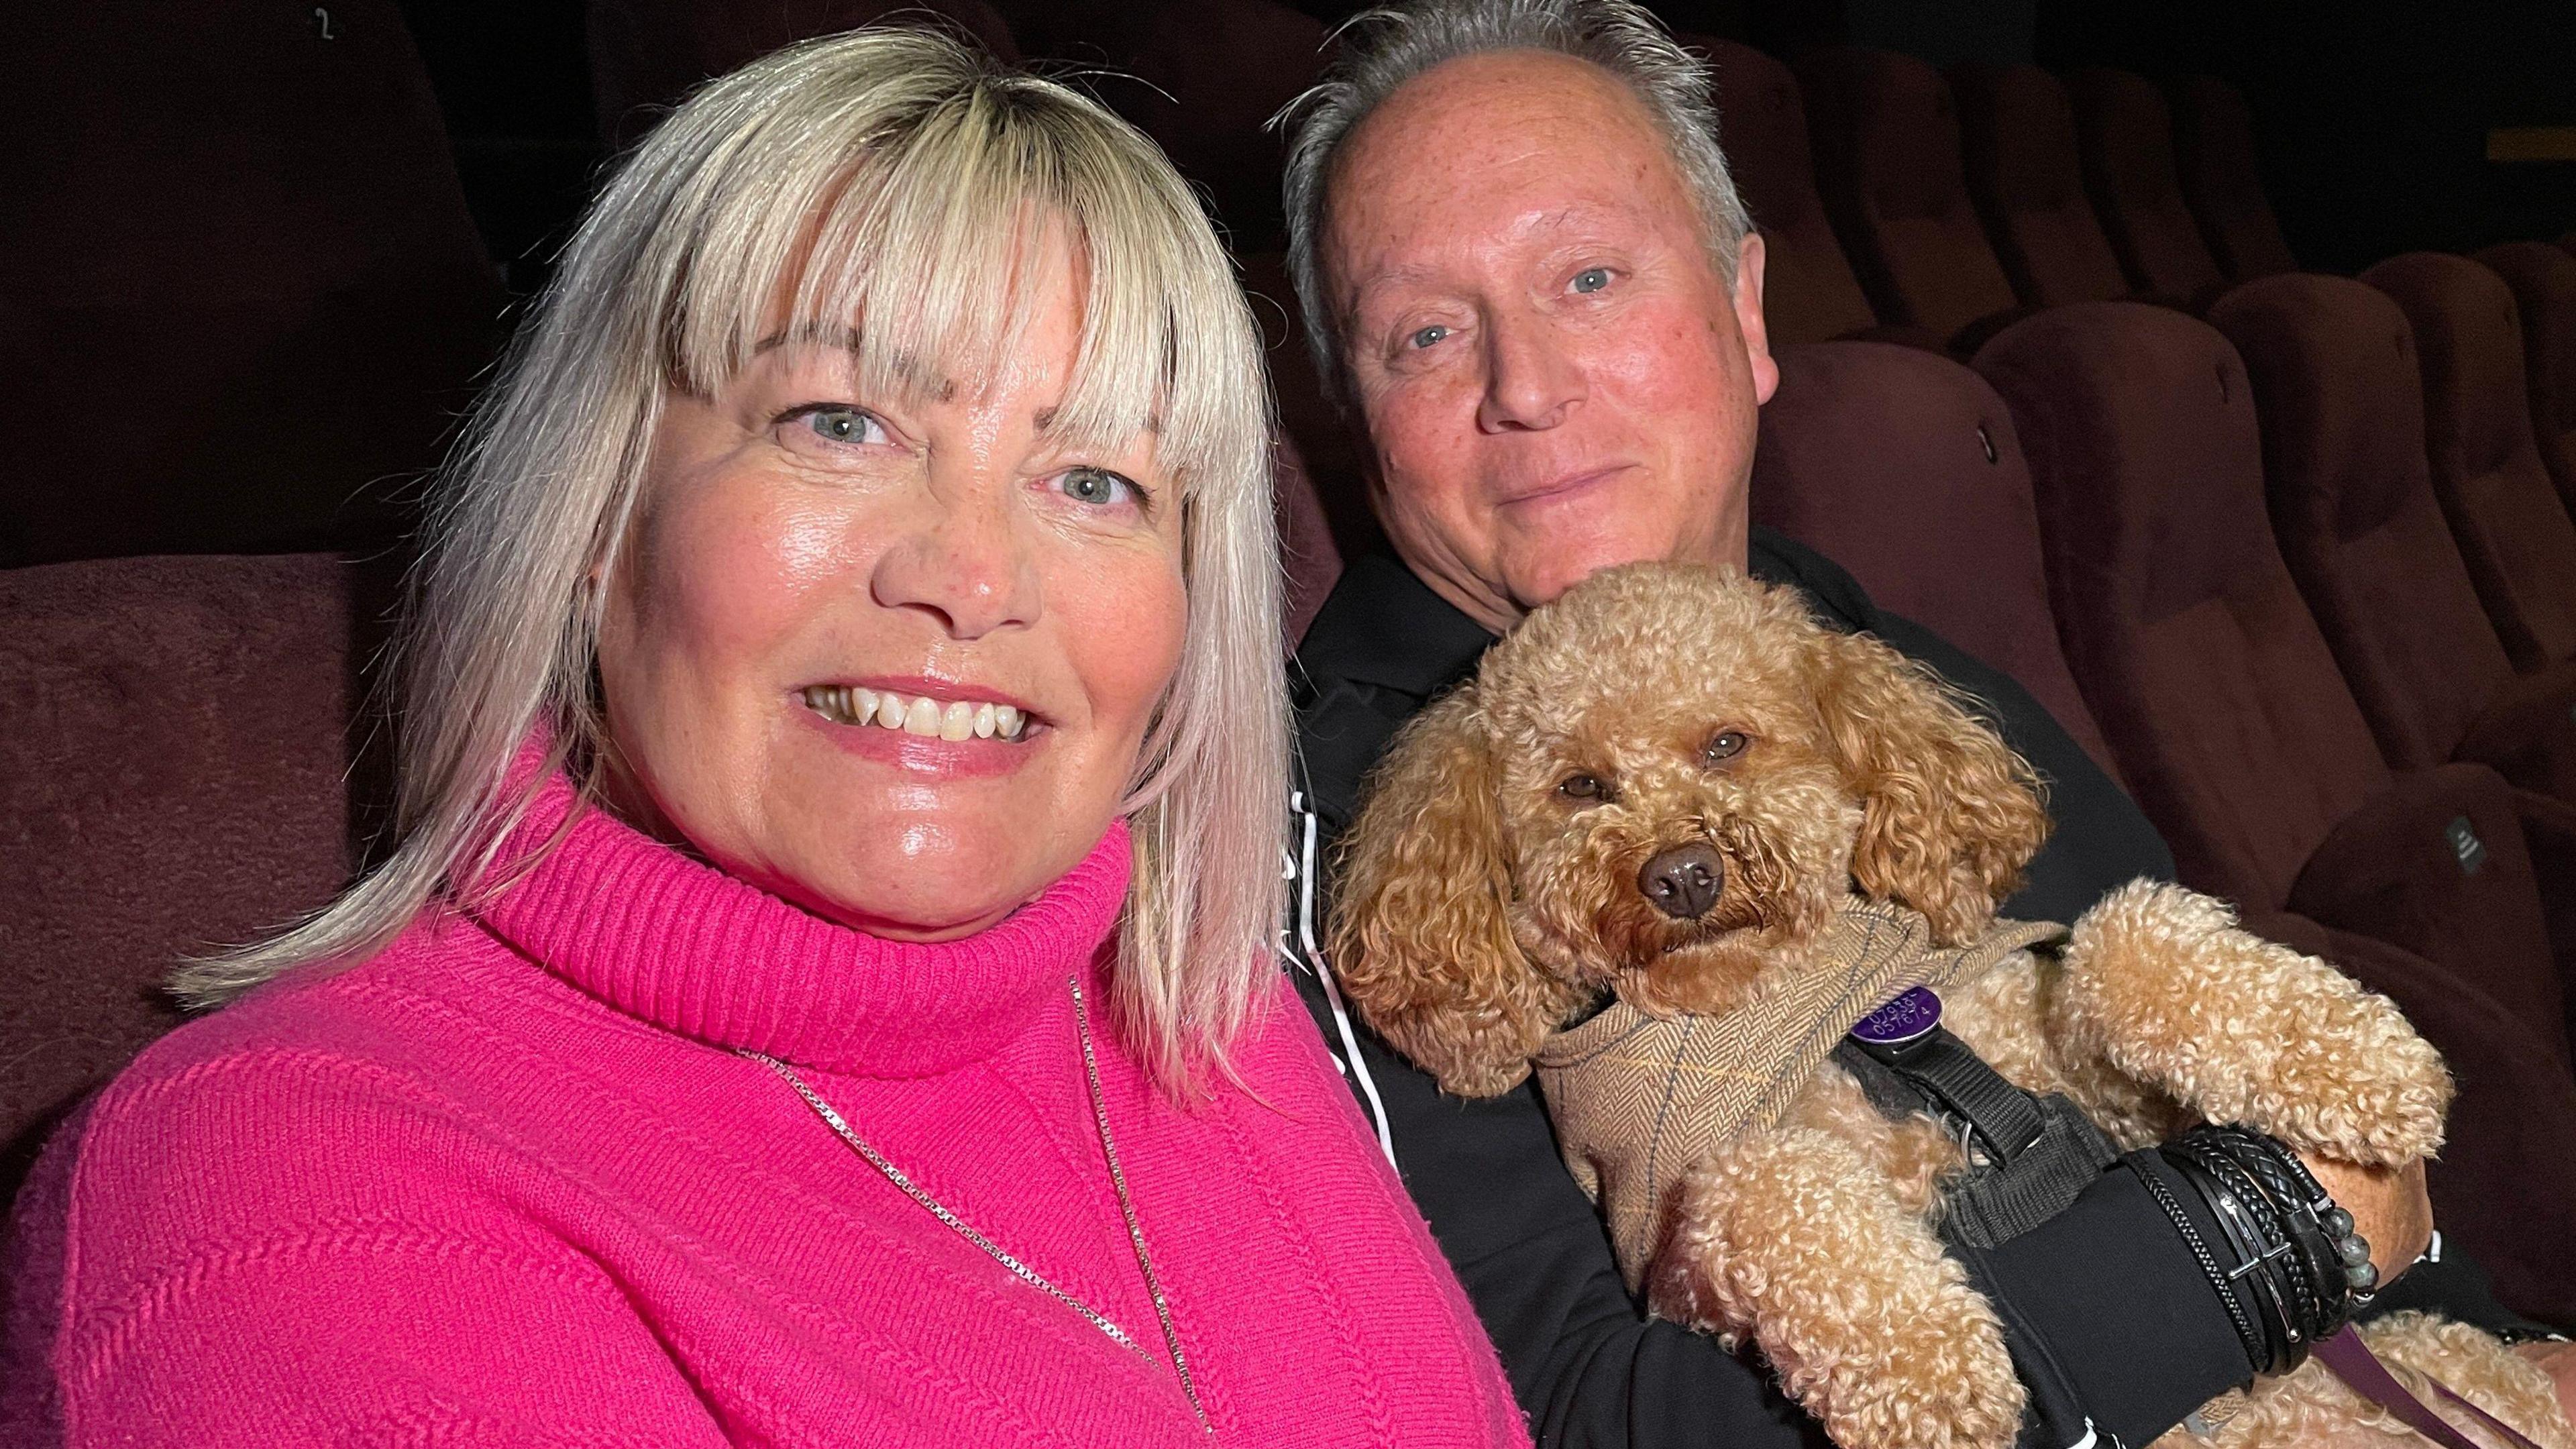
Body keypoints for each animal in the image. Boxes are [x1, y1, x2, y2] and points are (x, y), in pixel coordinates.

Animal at [1329, 561, 2576, 1444]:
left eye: (1727, 743)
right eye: (1579, 787)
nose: (1680, 875)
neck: (1818, 1022)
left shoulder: (2084, 1080)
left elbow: (2122, 940)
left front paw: (2358, 1059)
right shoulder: (1685, 1270)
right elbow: (1766, 1183)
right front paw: (1929, 1369)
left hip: (2451, 1364)